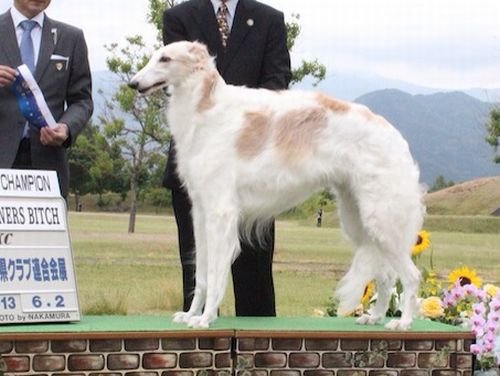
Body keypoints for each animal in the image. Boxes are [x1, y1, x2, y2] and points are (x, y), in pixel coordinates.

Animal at [129, 40, 426, 328]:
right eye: (154, 56)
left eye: (165, 58)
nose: (133, 83)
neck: (207, 108)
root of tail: (395, 136)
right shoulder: (200, 212)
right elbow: (201, 275)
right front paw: (191, 314)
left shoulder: (221, 212)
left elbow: (214, 275)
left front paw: (205, 318)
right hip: (360, 221)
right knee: (386, 276)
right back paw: (374, 316)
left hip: (382, 220)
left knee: (411, 275)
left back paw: (403, 322)